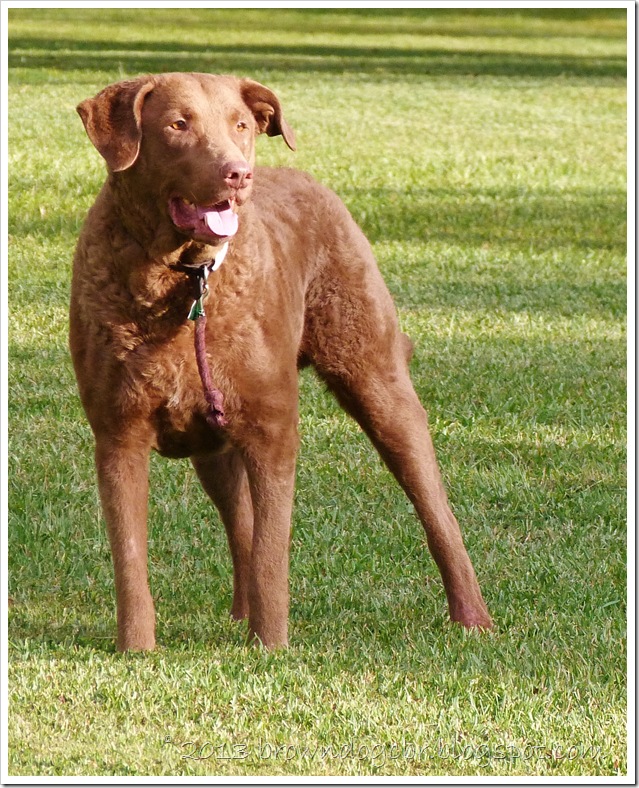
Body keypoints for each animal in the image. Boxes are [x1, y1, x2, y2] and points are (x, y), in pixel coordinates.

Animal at [70, 72, 492, 651]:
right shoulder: (118, 432)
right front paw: (136, 651)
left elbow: (273, 555)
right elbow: (130, 557)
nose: (238, 173)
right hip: (213, 441)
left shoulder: (273, 430)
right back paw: (240, 614)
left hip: (376, 381)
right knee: (240, 522)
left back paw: (472, 617)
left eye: (241, 126)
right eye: (178, 125)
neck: (187, 279)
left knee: (436, 509)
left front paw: (270, 650)